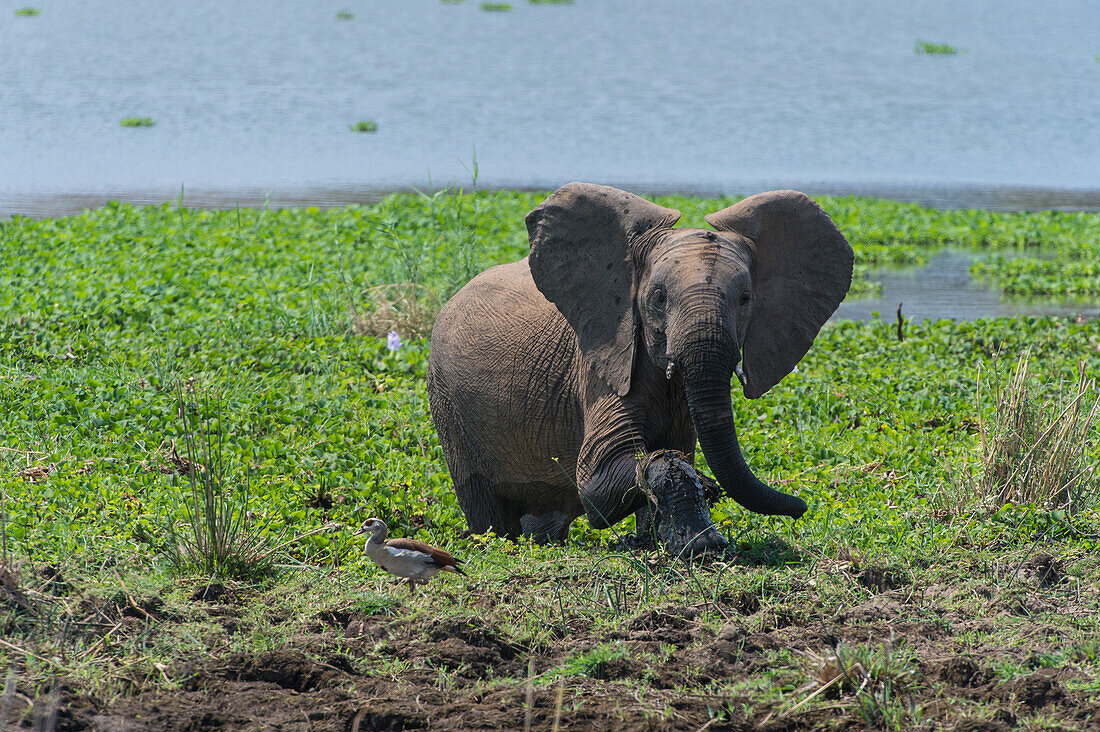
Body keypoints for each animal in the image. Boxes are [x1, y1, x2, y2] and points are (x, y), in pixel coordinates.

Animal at [422, 181, 849, 554]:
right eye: (658, 298)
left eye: (745, 299)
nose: (801, 506)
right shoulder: (603, 366)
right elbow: (596, 483)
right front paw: (701, 526)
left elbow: (674, 451)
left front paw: (669, 539)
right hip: (449, 406)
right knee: (485, 508)